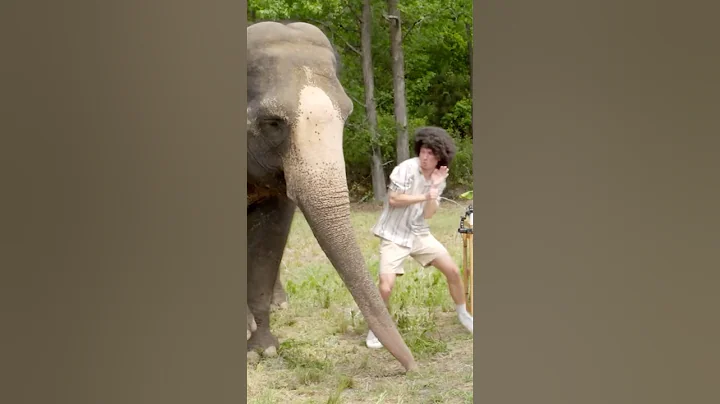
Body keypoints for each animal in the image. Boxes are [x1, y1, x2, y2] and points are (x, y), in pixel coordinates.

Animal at [246, 21, 417, 372]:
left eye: (347, 115)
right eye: (272, 122)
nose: (413, 367)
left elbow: (270, 237)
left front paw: (263, 351)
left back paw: (280, 304)